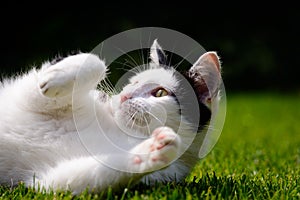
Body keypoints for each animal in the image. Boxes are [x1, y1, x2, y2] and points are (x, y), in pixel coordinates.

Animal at [0, 39, 220, 194]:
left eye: (160, 93)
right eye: (134, 81)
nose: (124, 95)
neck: (123, 131)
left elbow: (75, 180)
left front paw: (153, 150)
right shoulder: (26, 95)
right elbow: (94, 61)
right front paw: (54, 77)